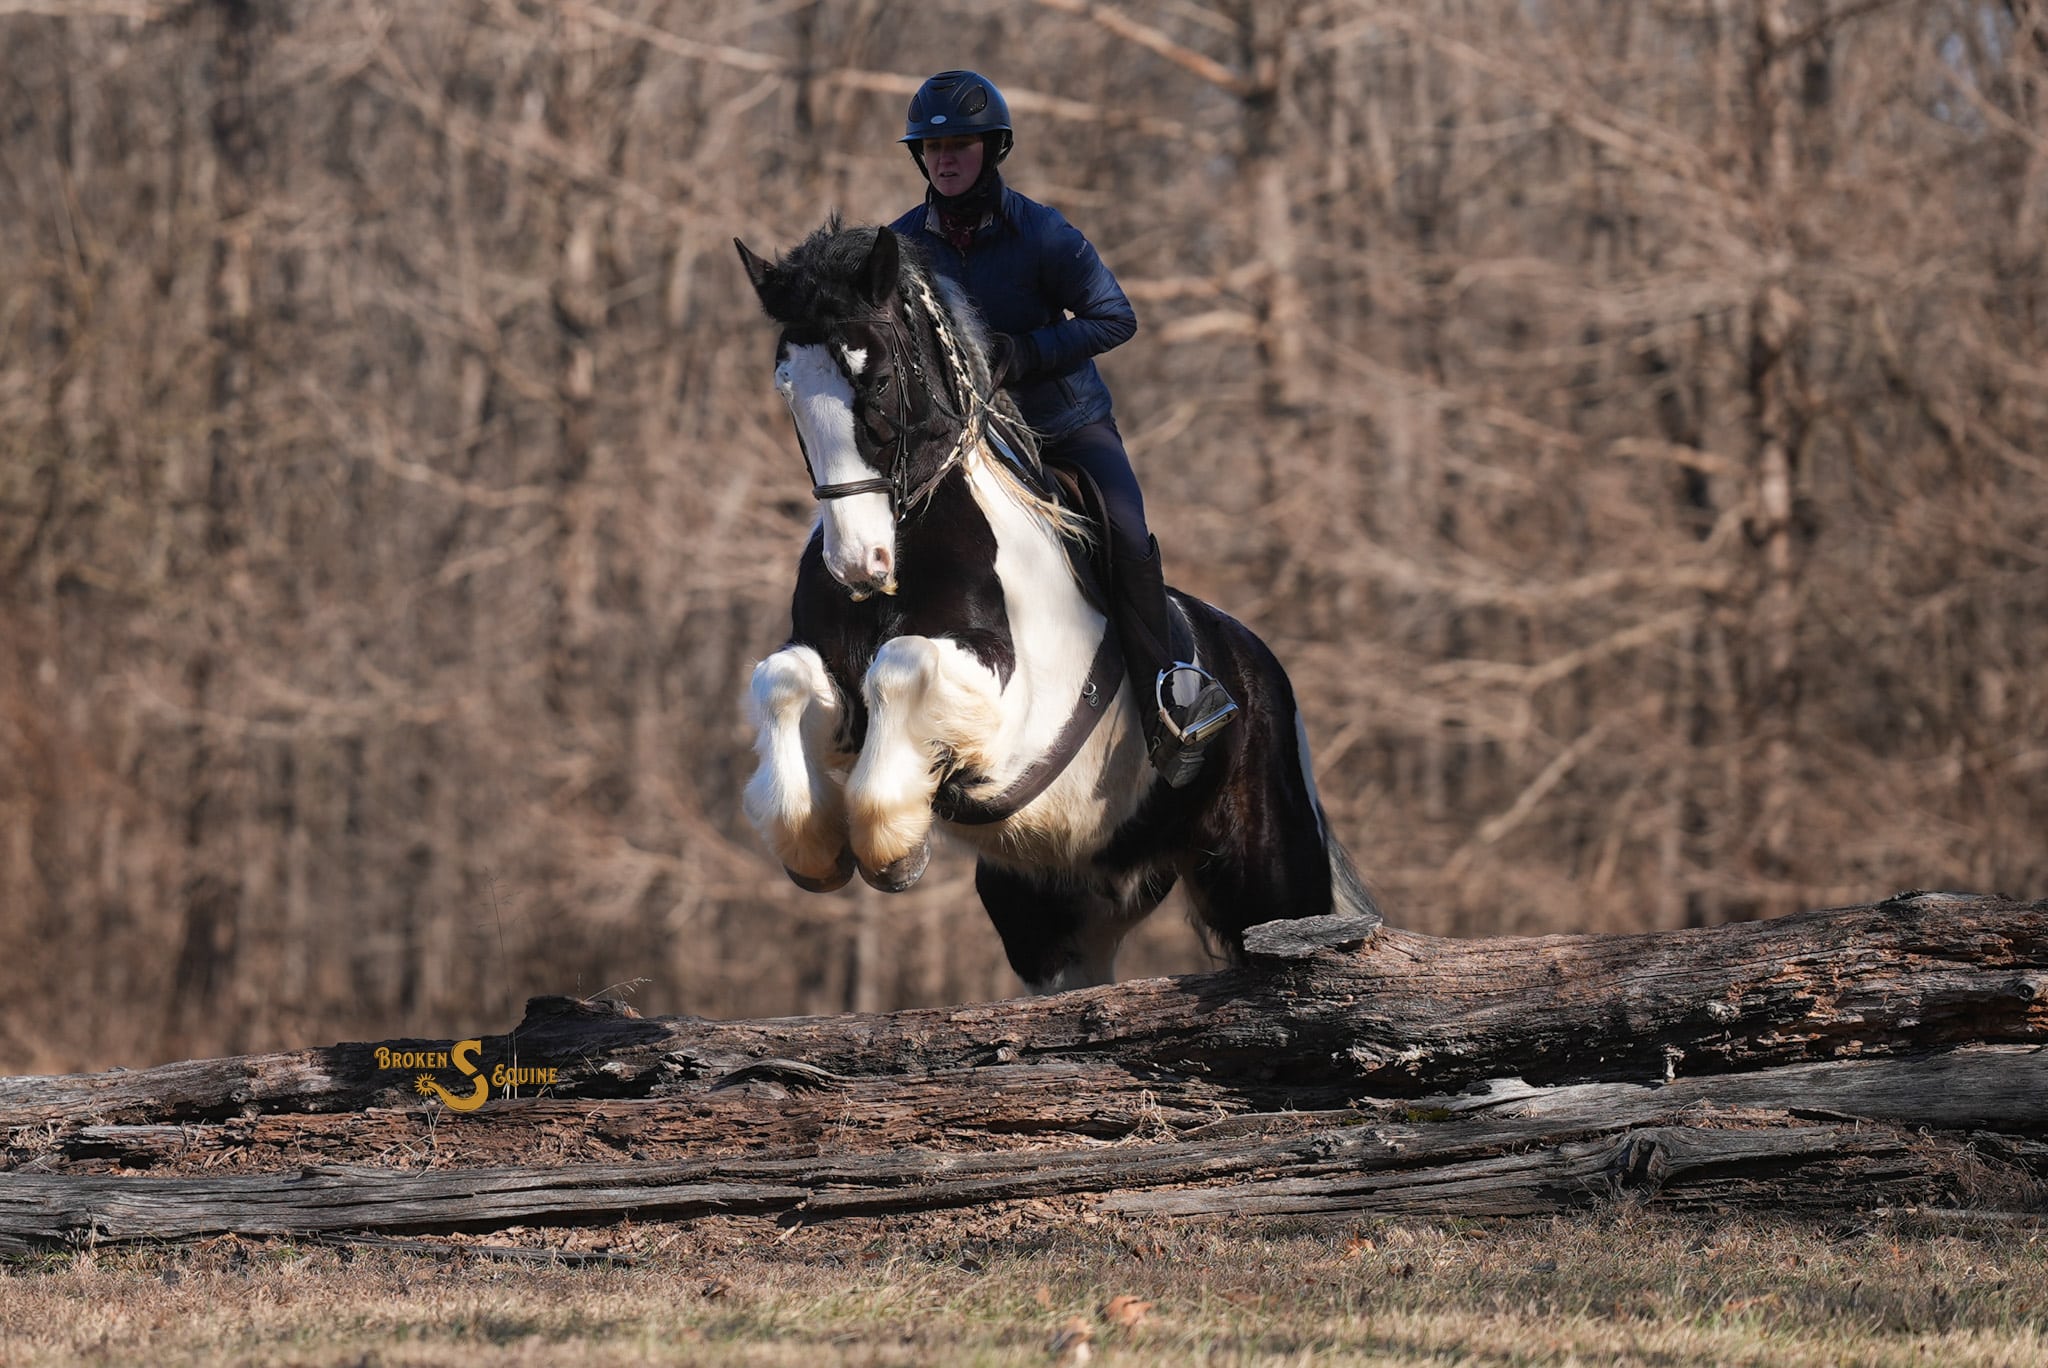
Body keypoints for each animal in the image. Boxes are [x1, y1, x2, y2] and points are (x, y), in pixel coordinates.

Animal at [734, 217, 1376, 992]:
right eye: (788, 388)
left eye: (877, 379)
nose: (860, 563)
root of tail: (1262, 668)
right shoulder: (832, 677)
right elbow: (784, 679)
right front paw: (816, 846)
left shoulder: (1020, 717)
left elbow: (902, 662)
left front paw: (892, 847)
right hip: (1055, 906)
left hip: (1266, 870)